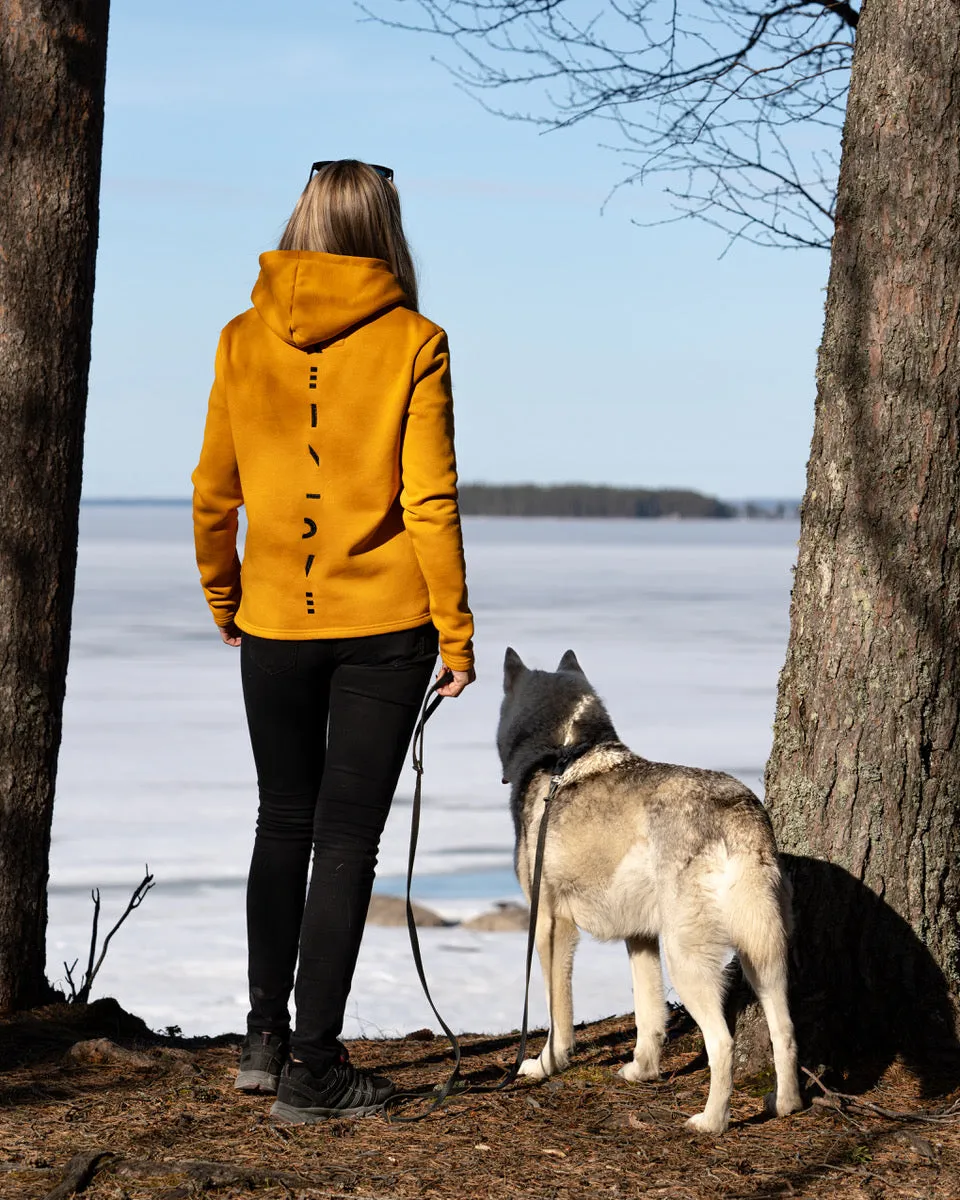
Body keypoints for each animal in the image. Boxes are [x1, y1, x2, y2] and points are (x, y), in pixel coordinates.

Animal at [494, 652, 801, 1128]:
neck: (561, 755)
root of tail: (739, 810)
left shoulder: (549, 927)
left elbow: (557, 1017)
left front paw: (545, 1066)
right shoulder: (639, 937)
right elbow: (649, 1015)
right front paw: (642, 1071)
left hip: (688, 961)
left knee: (723, 1043)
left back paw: (711, 1122)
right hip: (763, 958)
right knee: (785, 1032)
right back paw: (784, 1104)